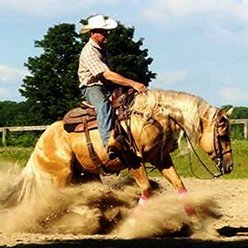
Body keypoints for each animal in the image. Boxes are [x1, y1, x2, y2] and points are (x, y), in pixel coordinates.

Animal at [2, 89, 234, 209]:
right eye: (222, 135)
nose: (230, 166)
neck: (151, 117)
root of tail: (41, 142)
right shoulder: (133, 160)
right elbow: (146, 190)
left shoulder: (161, 159)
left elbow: (180, 186)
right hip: (61, 177)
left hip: (84, 174)